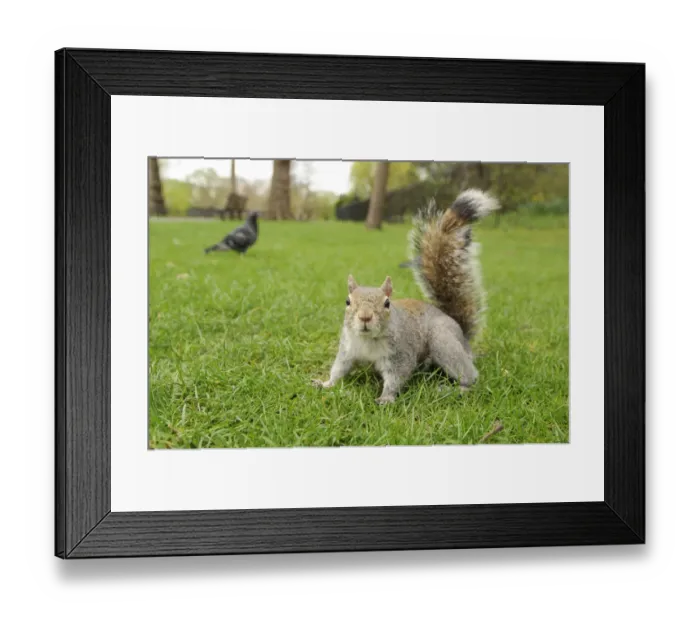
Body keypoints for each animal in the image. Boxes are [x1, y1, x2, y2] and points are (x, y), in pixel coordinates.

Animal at [312, 188, 501, 404]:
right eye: (347, 301)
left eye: (387, 303)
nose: (365, 317)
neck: (369, 340)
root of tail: (461, 333)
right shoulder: (347, 350)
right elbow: (338, 369)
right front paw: (325, 384)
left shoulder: (401, 354)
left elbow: (397, 377)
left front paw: (386, 398)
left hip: (443, 340)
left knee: (470, 375)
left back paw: (456, 388)